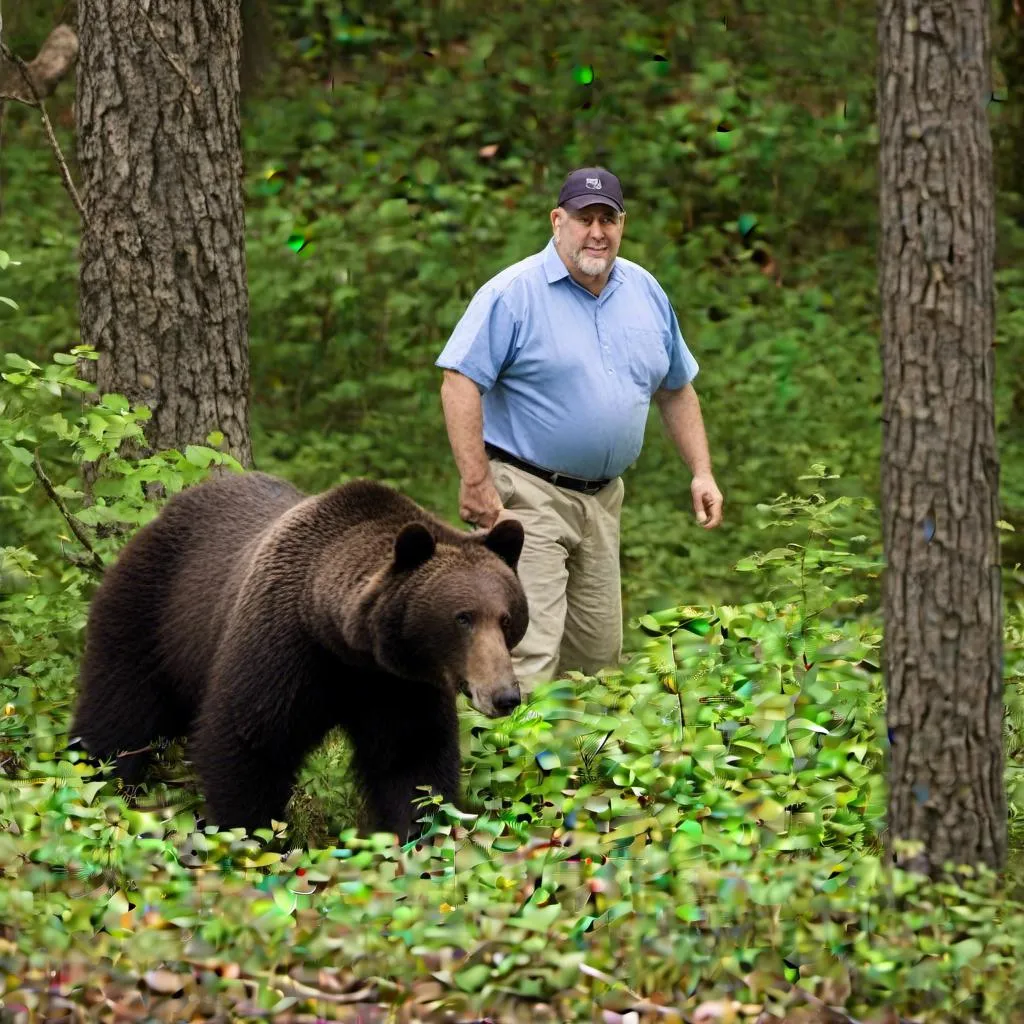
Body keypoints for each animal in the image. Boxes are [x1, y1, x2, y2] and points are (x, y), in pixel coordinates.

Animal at [70, 468, 528, 839]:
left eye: (506, 618)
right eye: (463, 618)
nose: (505, 695)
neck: (345, 645)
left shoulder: (397, 685)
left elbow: (413, 761)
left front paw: (420, 839)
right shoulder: (283, 651)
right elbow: (248, 745)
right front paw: (248, 836)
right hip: (152, 615)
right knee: (118, 715)